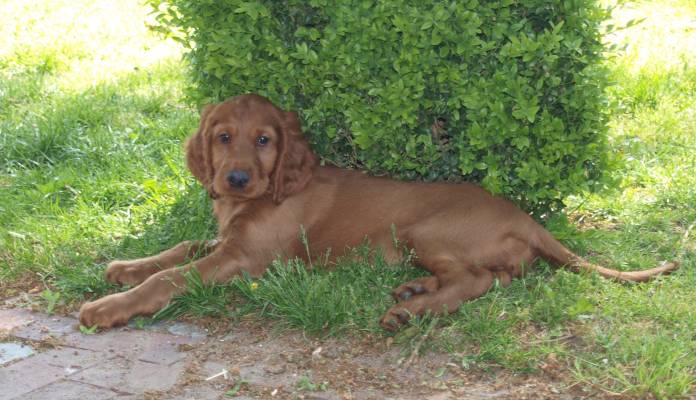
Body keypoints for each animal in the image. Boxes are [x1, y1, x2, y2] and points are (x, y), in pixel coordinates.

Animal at [79, 94, 678, 330]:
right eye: (223, 137)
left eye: (265, 140)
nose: (237, 178)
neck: (266, 194)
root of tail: (526, 218)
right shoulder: (229, 240)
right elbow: (179, 248)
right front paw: (125, 266)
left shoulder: (245, 258)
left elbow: (172, 277)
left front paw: (108, 307)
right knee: (498, 276)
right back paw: (415, 291)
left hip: (421, 230)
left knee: (480, 279)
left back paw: (409, 311)